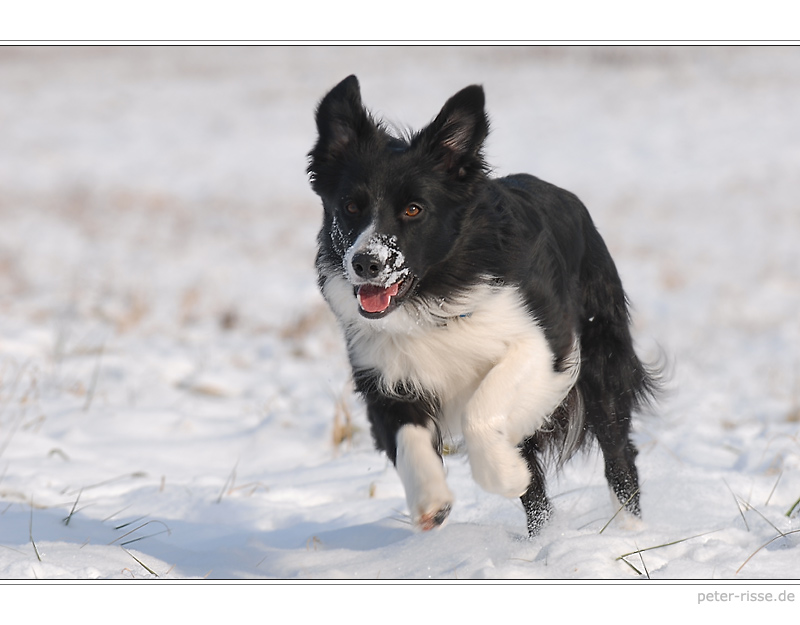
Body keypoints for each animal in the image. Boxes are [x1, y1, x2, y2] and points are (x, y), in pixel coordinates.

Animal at [306, 75, 656, 532]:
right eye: (350, 206)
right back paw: (540, 538)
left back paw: (628, 532)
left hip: (603, 362)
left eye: (413, 209)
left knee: (618, 452)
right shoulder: (382, 373)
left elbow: (482, 409)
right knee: (540, 494)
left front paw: (504, 476)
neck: (432, 298)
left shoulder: (545, 345)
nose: (366, 262)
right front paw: (431, 501)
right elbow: (406, 436)